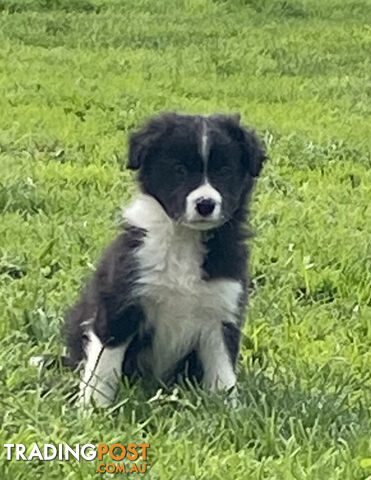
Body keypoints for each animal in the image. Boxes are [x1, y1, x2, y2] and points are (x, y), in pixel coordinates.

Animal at [64, 111, 268, 404]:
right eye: (179, 169)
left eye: (224, 171)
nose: (205, 204)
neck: (184, 239)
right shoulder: (120, 304)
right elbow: (103, 368)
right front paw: (93, 408)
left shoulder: (221, 314)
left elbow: (223, 375)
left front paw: (228, 408)